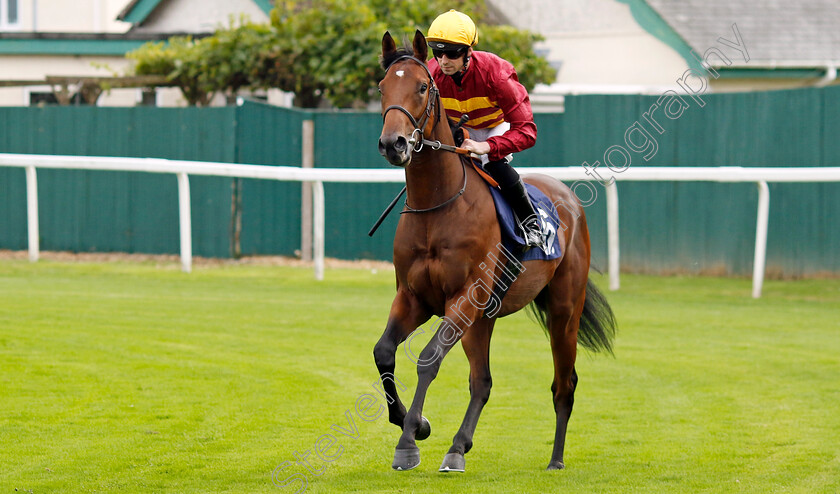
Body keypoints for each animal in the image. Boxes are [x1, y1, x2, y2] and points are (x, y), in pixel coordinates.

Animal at [374, 29, 616, 470]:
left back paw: (555, 459)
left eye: (422, 86)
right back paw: (457, 447)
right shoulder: (413, 296)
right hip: (484, 319)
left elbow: (428, 359)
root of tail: (568, 199)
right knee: (482, 381)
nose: (393, 144)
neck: (439, 206)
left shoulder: (463, 298)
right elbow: (384, 351)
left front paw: (408, 441)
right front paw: (416, 425)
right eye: (382, 87)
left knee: (564, 382)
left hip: (562, 310)